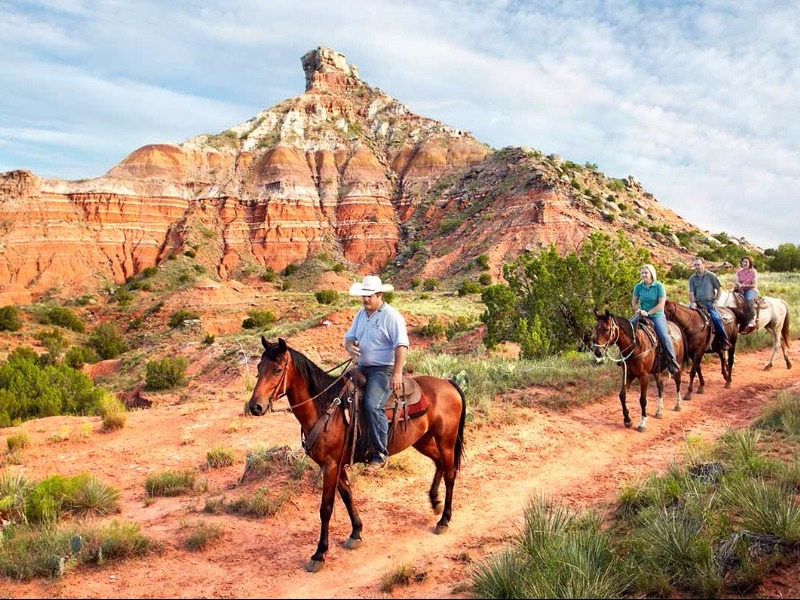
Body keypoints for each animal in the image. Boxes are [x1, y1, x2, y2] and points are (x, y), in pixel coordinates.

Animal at [247, 338, 466, 572]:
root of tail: (448, 383)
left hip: (446, 440)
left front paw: (319, 554)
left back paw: (444, 520)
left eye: (278, 370)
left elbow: (326, 508)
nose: (255, 406)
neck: (326, 407)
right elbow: (347, 496)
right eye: (259, 368)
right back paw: (435, 502)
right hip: (422, 440)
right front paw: (356, 533)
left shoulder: (331, 465)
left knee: (450, 473)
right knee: (439, 463)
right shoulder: (336, 465)